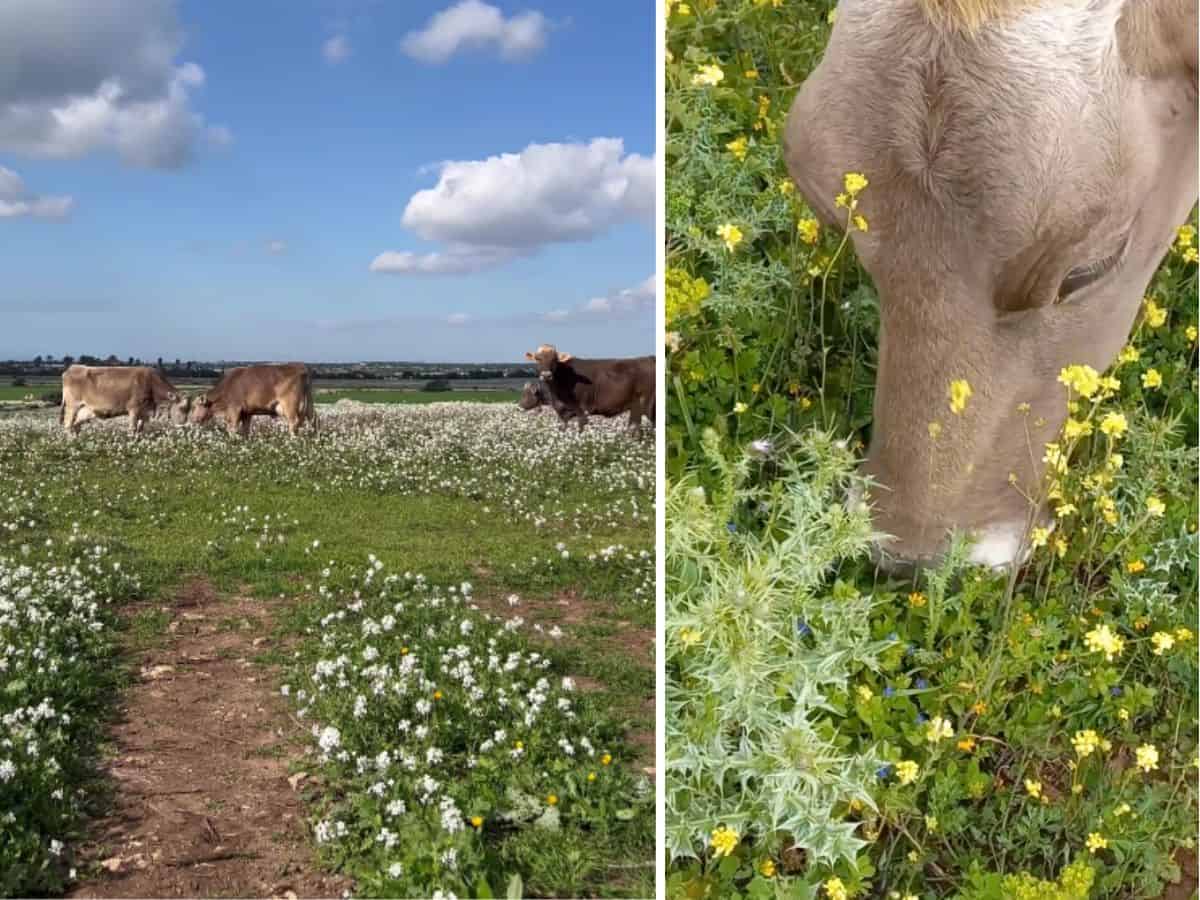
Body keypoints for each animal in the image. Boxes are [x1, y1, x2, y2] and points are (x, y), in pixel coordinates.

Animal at [60, 367, 188, 436]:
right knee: (68, 424)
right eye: (182, 408)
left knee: (76, 425)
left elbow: (140, 429)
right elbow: (133, 428)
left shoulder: (144, 411)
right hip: (72, 406)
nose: (183, 425)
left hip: (85, 410)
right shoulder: (134, 408)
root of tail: (71, 368)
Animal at [188, 364, 316, 439]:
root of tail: (300, 367)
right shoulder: (246, 413)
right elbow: (245, 429)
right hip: (309, 405)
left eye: (195, 406)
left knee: (294, 422)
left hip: (290, 405)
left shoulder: (234, 409)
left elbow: (232, 428)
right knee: (312, 421)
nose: (192, 419)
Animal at [523, 345, 657, 434]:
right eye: (537, 358)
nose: (546, 375)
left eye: (554, 359)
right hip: (636, 408)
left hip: (647, 406)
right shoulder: (564, 415)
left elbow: (581, 429)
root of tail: (649, 358)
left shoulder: (582, 410)